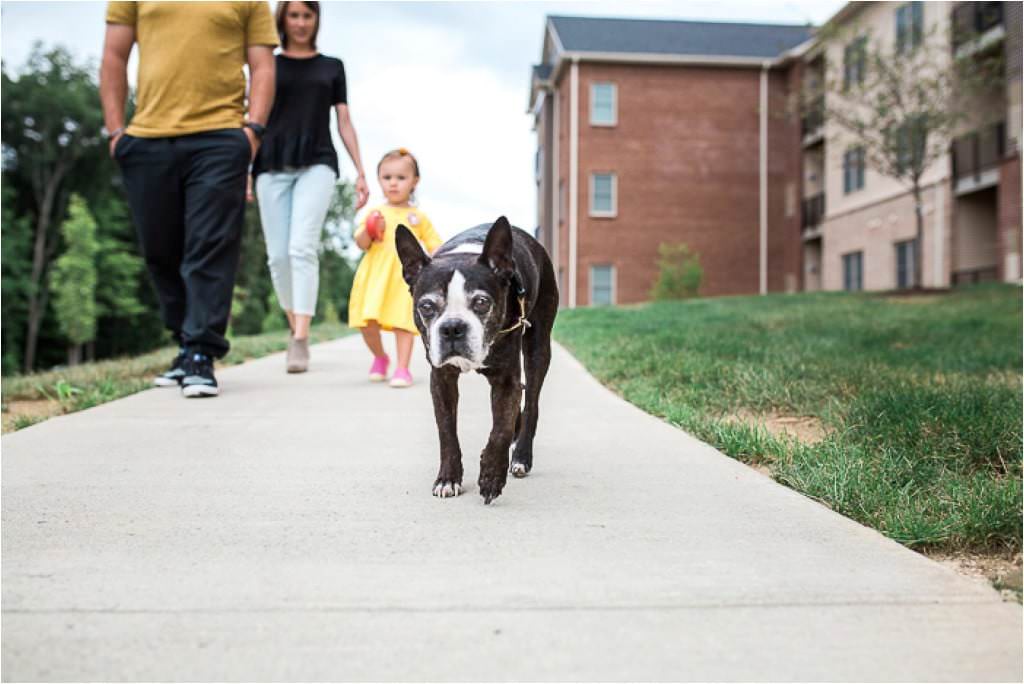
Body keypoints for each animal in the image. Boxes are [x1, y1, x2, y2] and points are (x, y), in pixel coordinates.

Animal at [395, 216, 561, 505]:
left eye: (482, 302)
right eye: (426, 306)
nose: (452, 328)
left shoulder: (506, 382)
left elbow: (500, 430)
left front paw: (492, 476)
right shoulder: (441, 378)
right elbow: (447, 431)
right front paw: (448, 478)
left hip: (538, 347)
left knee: (531, 403)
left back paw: (521, 456)